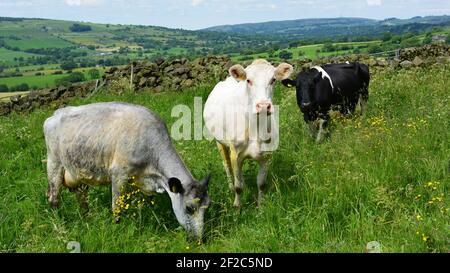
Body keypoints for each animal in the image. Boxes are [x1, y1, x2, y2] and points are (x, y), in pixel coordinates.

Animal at [43, 101, 211, 238]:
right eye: (189, 208)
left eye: (207, 206)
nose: (199, 239)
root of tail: (55, 115)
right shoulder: (119, 174)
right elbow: (117, 206)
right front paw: (116, 228)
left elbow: (146, 203)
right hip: (54, 163)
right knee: (53, 198)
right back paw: (58, 225)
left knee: (81, 198)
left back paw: (87, 218)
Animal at [202, 59, 294, 206]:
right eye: (249, 80)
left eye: (273, 80)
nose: (263, 106)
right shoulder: (235, 154)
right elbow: (238, 186)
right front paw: (237, 206)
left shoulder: (266, 156)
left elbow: (261, 183)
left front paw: (261, 205)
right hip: (219, 142)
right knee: (227, 166)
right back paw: (230, 185)